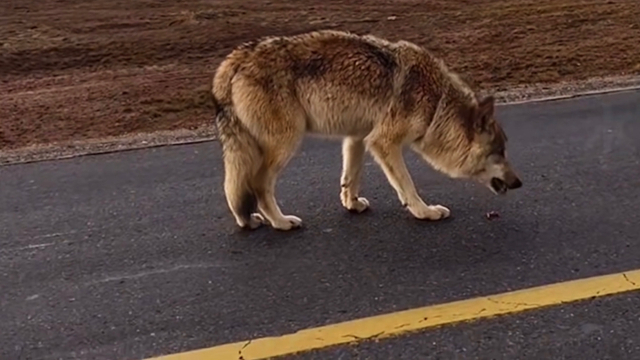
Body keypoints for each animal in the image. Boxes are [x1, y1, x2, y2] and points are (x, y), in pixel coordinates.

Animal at [212, 28, 524, 231]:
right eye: (499, 152)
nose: (519, 183)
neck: (437, 103)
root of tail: (237, 56)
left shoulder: (359, 137)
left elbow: (350, 178)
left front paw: (352, 205)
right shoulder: (384, 142)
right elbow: (407, 184)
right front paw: (424, 212)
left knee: (237, 189)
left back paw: (249, 221)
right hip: (287, 144)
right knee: (258, 185)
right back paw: (280, 222)